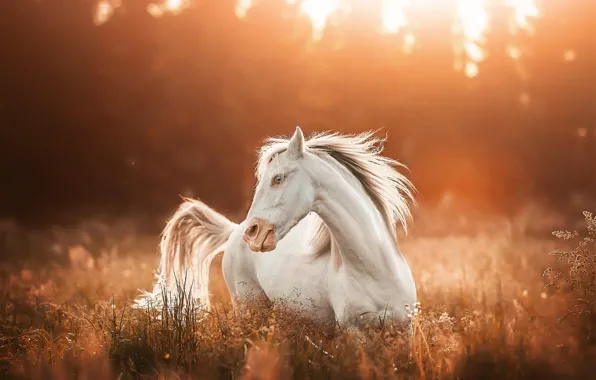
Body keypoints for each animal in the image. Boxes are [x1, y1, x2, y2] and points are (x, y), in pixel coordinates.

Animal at [136, 128, 416, 330]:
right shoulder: (352, 332)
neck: (374, 269)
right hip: (249, 309)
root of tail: (234, 231)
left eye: (277, 178)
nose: (253, 233)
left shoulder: (405, 331)